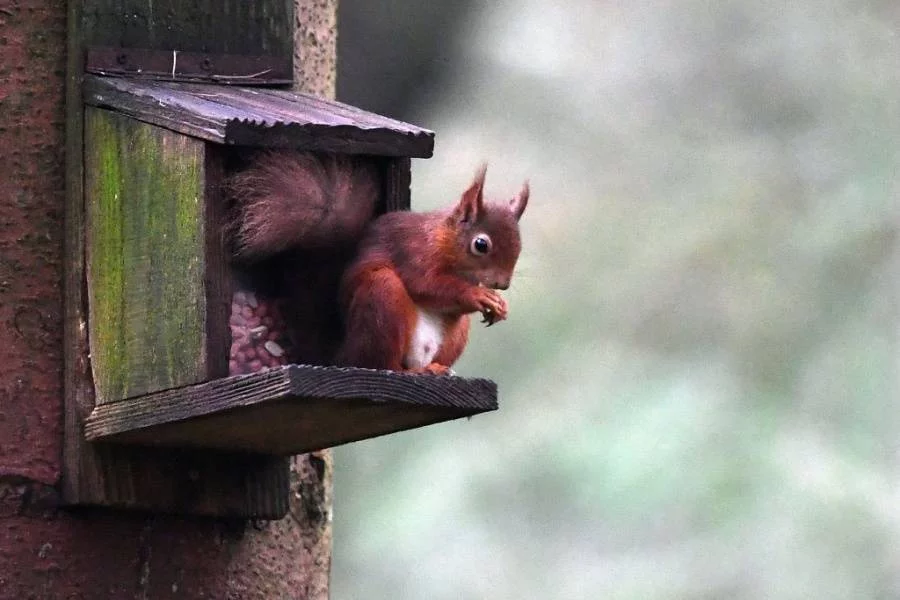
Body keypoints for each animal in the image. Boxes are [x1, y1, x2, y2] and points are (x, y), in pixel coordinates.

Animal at [229, 152, 528, 372]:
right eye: (481, 245)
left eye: (519, 243)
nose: (502, 284)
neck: (445, 241)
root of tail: (342, 357)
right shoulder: (412, 252)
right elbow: (426, 285)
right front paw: (477, 295)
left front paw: (500, 306)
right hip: (381, 297)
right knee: (386, 364)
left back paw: (437, 369)